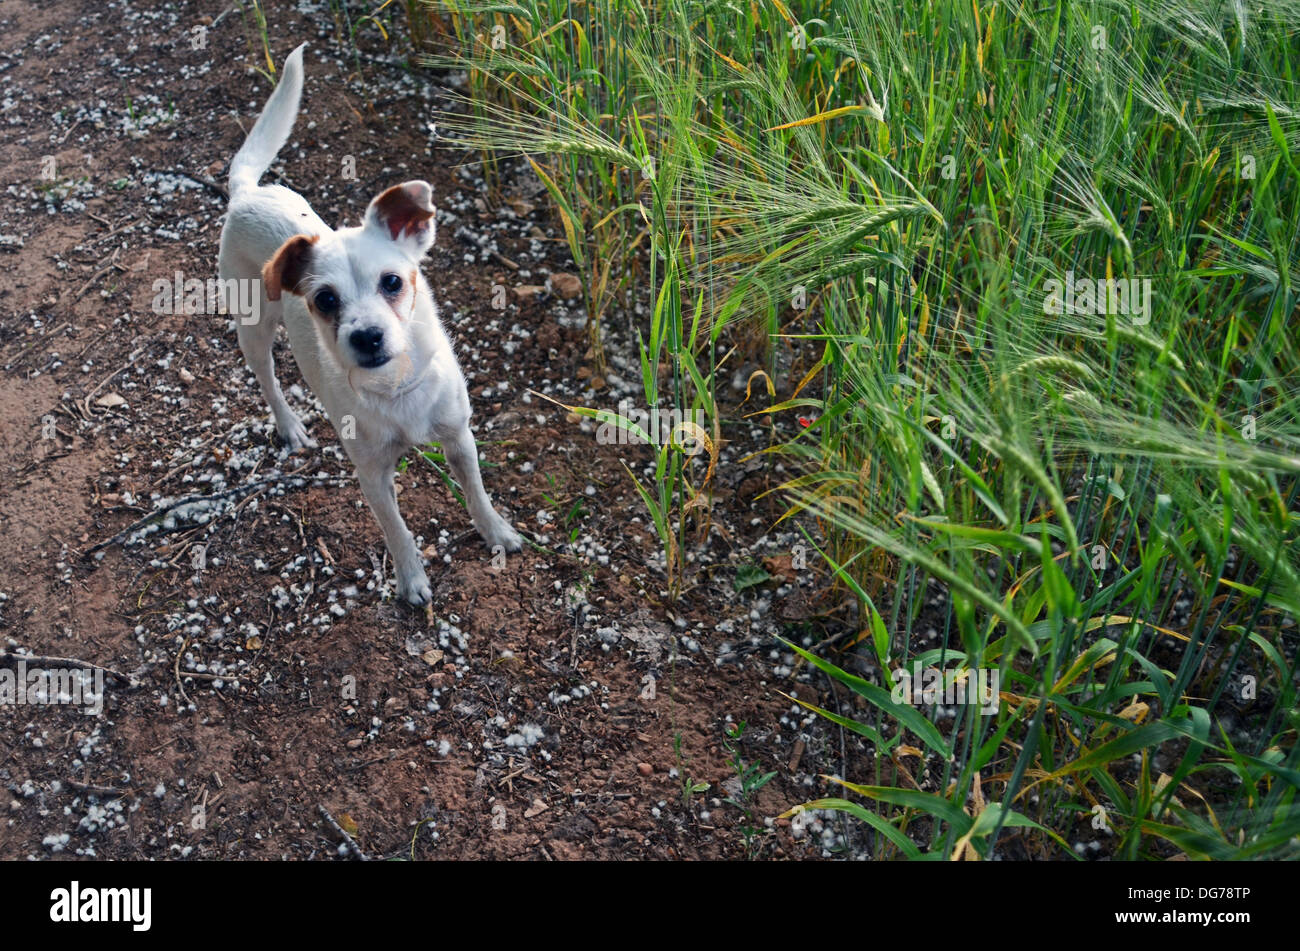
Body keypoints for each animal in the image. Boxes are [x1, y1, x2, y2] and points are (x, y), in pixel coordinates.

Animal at [215, 42, 520, 602]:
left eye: (393, 282)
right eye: (325, 300)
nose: (366, 335)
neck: (396, 388)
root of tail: (247, 192)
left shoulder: (459, 438)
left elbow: (477, 492)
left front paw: (498, 532)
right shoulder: (373, 476)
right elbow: (397, 530)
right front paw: (412, 579)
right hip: (253, 329)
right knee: (268, 381)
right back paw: (290, 426)